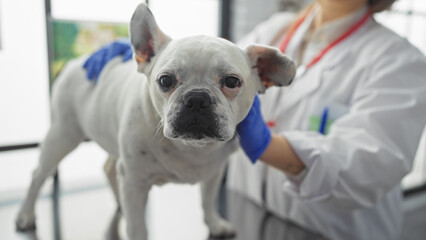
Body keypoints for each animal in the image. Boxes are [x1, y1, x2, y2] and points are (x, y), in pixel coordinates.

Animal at [16, 3, 296, 240]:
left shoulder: (213, 174)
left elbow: (207, 201)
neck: (192, 148)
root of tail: (78, 61)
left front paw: (215, 224)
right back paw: (25, 215)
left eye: (232, 81)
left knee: (109, 167)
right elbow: (137, 225)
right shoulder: (134, 180)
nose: (197, 98)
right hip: (62, 135)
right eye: (165, 80)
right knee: (38, 175)